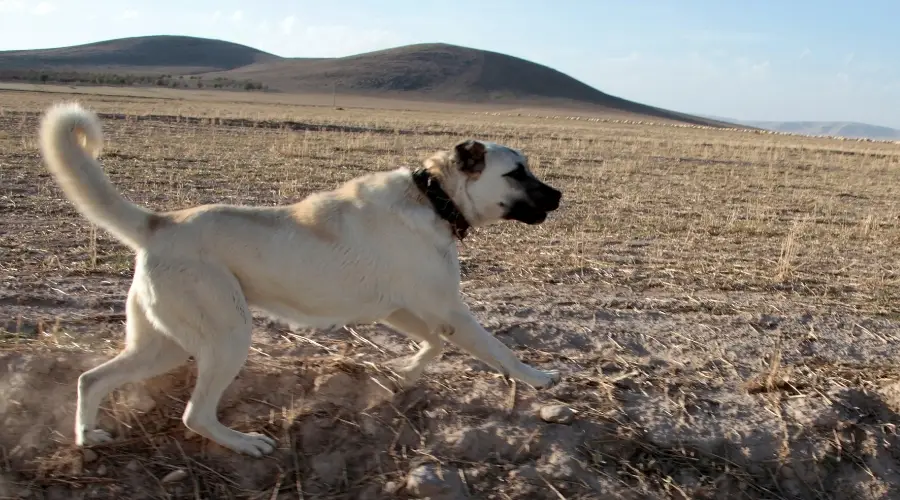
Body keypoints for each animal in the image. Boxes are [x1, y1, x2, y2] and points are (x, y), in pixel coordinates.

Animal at [40, 102, 564, 458]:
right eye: (517, 172)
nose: (559, 196)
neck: (435, 198)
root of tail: (159, 223)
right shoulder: (448, 309)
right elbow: (499, 350)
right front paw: (538, 377)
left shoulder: (400, 308)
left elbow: (433, 343)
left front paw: (402, 372)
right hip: (227, 336)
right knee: (195, 414)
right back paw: (245, 443)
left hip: (162, 344)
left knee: (91, 378)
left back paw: (87, 435)